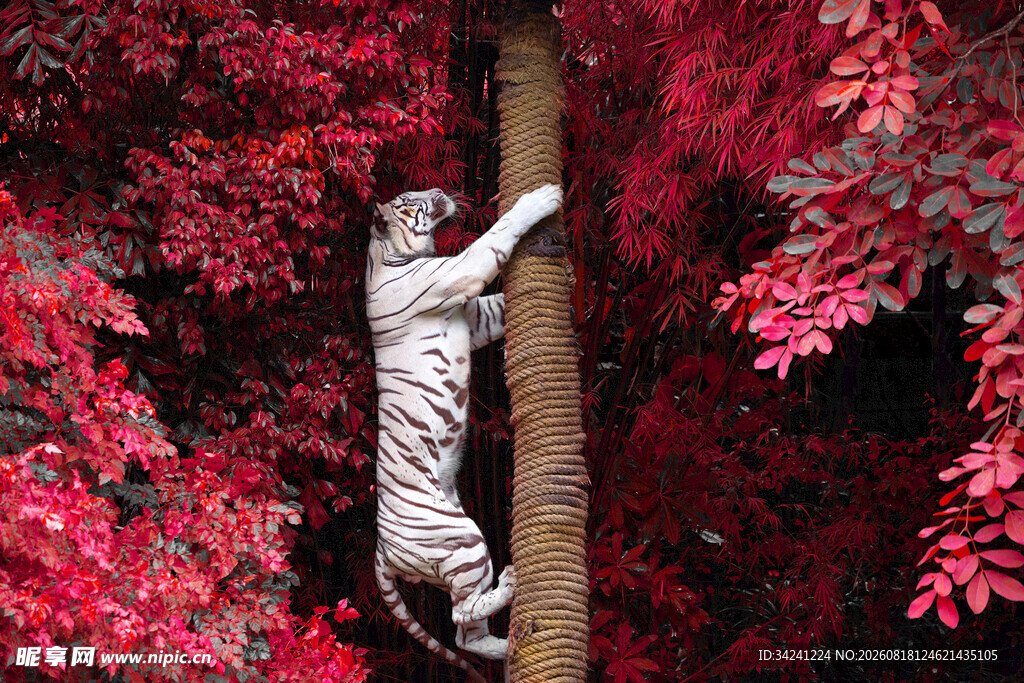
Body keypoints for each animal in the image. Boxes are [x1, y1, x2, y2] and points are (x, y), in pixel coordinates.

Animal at [366, 183, 562, 680]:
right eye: (410, 200)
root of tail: (380, 549)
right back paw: (509, 588)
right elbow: (496, 235)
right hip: (462, 540)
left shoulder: (476, 318)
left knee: (465, 634)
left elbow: (499, 304)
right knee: (457, 620)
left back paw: (504, 644)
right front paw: (542, 199)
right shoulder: (459, 273)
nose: (437, 189)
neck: (386, 254)